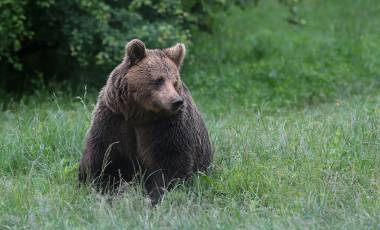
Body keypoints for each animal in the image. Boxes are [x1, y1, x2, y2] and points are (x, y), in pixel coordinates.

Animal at [78, 38, 212, 204]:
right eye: (159, 79)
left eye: (175, 81)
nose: (176, 101)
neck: (140, 115)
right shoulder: (113, 119)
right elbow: (103, 154)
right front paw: (97, 186)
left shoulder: (168, 126)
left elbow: (171, 161)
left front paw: (156, 195)